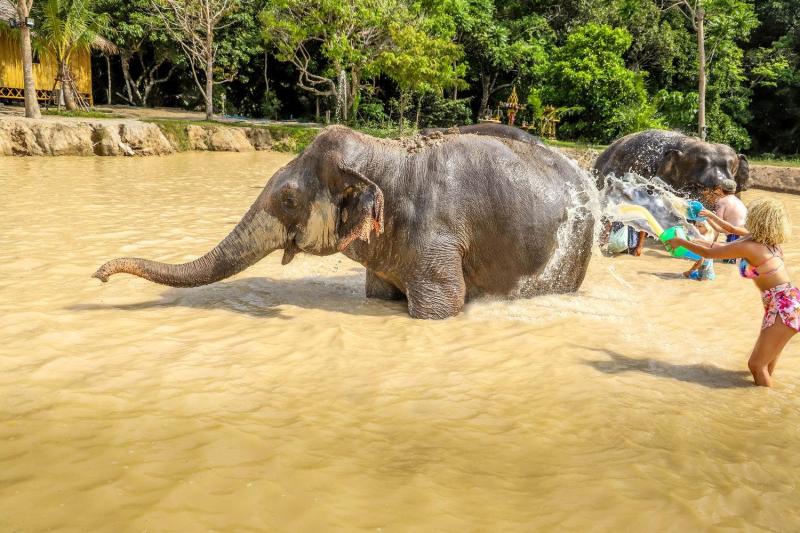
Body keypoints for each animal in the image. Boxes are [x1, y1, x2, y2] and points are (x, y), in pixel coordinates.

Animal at [93, 126, 594, 319]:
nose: (98, 275)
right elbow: (377, 295)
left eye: (288, 199)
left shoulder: (438, 238)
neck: (386, 153)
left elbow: (442, 306)